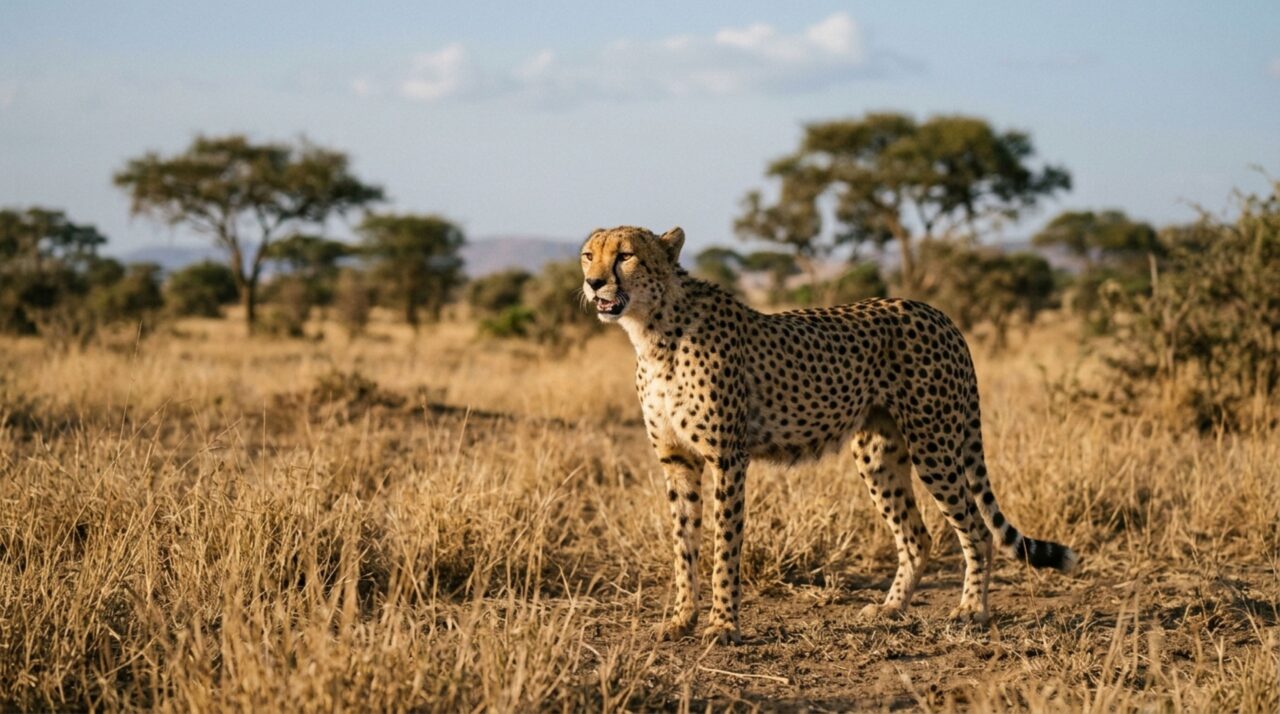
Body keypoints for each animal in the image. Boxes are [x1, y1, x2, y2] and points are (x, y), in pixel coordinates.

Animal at [580, 225, 1077, 645]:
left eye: (625, 255)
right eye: (589, 255)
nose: (594, 283)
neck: (653, 331)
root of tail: (936, 312)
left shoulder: (728, 457)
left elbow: (724, 545)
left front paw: (723, 626)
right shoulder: (677, 461)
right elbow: (683, 545)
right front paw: (682, 619)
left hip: (933, 443)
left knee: (976, 528)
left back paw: (972, 610)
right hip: (878, 454)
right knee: (917, 537)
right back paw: (890, 609)